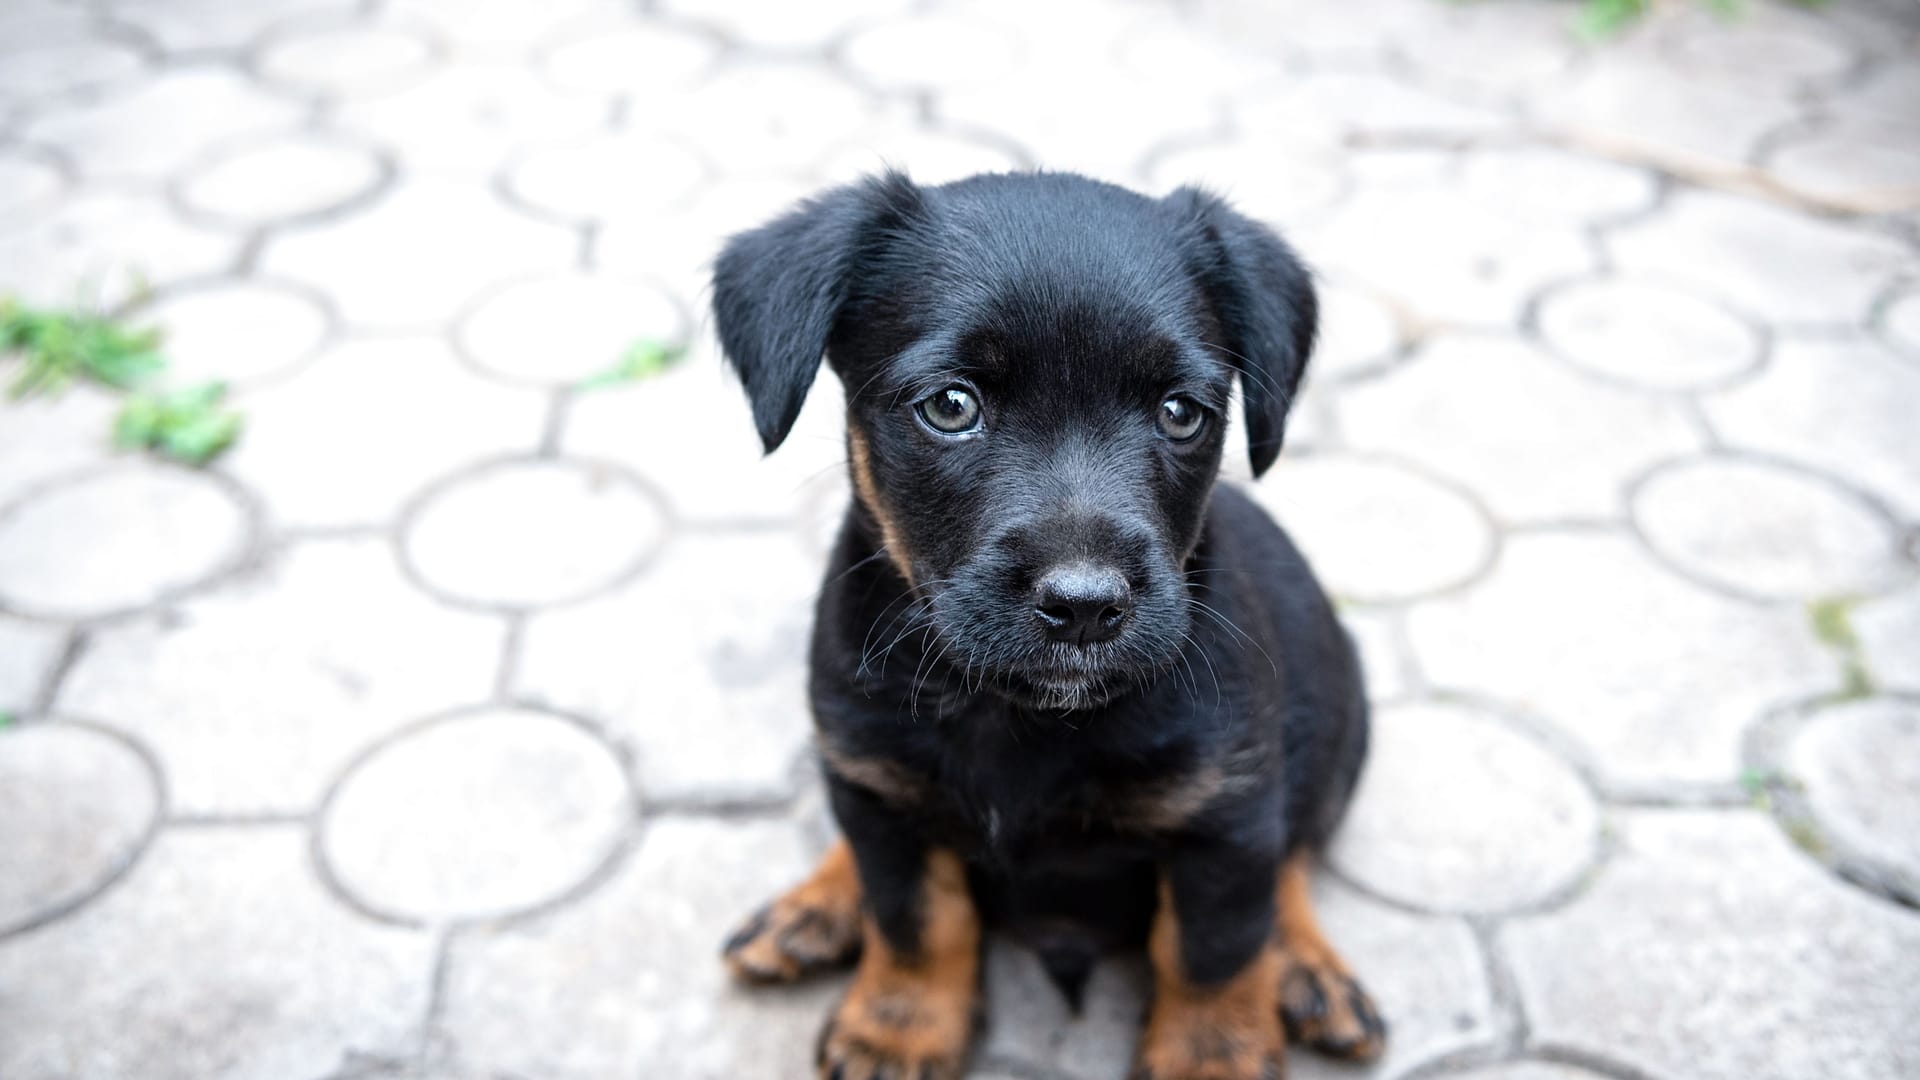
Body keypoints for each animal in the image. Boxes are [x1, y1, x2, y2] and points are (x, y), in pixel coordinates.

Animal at [706, 171, 1382, 1076]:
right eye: (951, 406)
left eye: (1181, 413)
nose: (1088, 605)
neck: (1016, 715)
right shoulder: (874, 783)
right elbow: (915, 920)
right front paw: (898, 1026)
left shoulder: (1228, 815)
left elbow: (1213, 952)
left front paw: (1210, 1054)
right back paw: (816, 905)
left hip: (1339, 717)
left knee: (1297, 854)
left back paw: (1306, 964)